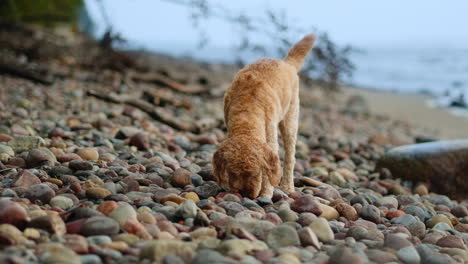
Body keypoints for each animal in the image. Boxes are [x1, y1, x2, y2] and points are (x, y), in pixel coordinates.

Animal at [213, 33, 316, 198]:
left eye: (256, 173)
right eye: (233, 173)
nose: (244, 193)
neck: (246, 113)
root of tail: (287, 63)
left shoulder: (270, 137)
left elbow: (271, 171)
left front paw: (266, 194)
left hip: (290, 118)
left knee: (290, 156)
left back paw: (287, 186)